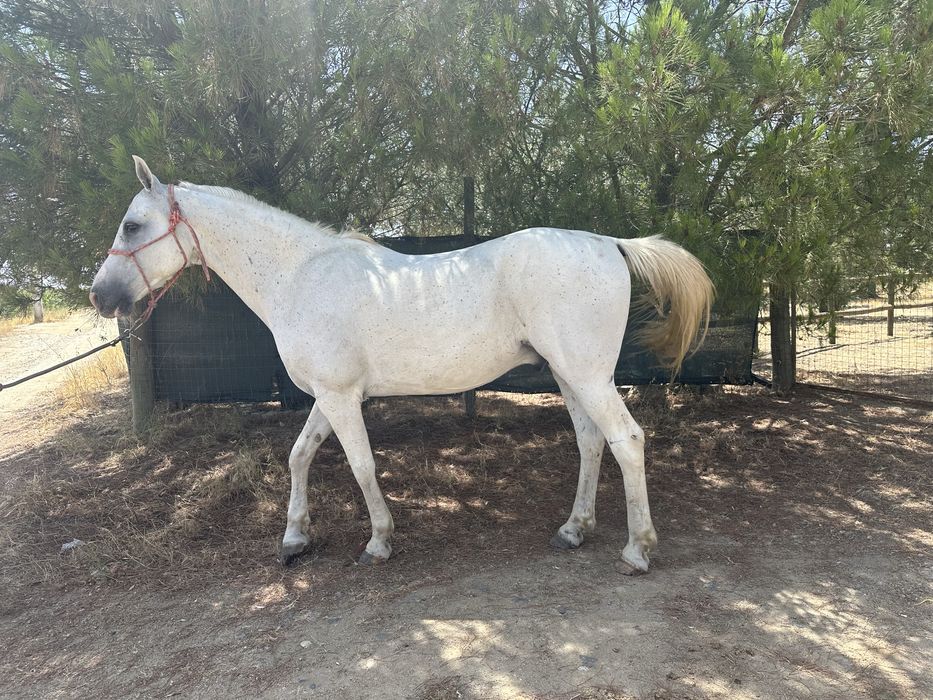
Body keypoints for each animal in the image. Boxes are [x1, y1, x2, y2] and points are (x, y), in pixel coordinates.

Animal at [90, 156, 714, 574]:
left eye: (132, 225)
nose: (100, 295)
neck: (299, 276)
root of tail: (608, 242)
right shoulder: (329, 396)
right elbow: (299, 456)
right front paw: (294, 538)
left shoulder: (341, 396)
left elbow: (360, 465)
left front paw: (379, 541)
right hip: (568, 376)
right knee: (590, 441)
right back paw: (573, 530)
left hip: (586, 375)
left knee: (627, 440)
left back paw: (637, 550)